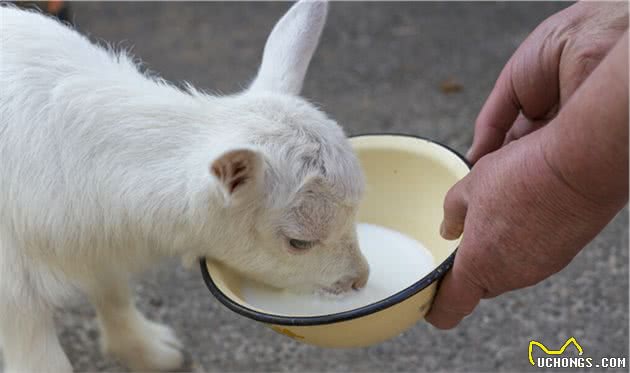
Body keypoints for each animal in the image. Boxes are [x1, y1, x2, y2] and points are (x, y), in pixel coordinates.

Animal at [0, 1, 370, 370]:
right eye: (298, 242)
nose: (360, 280)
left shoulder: (98, 249)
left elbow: (113, 293)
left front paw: (148, 351)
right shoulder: (16, 290)